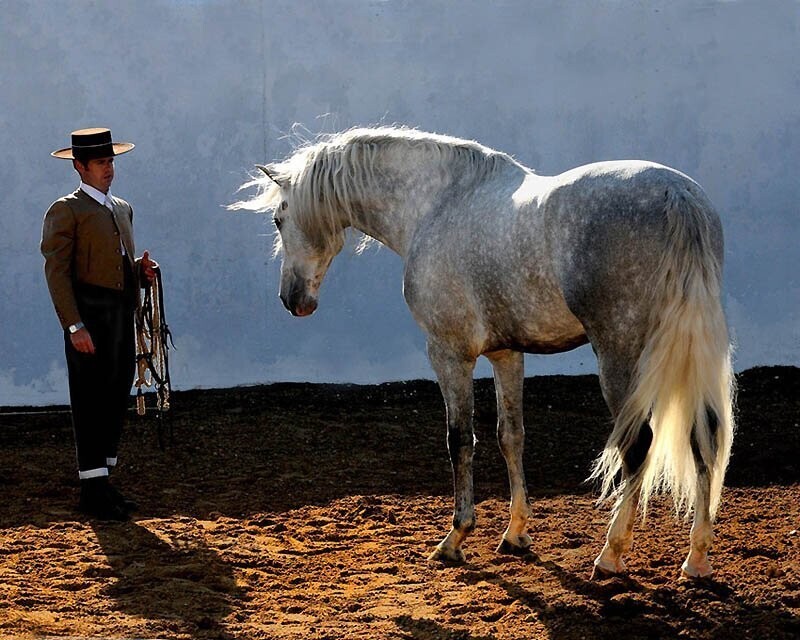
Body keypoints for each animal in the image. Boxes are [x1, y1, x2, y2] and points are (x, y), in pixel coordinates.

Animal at [231, 126, 732, 580]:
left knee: (638, 445)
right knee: (703, 435)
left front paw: (455, 539)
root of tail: (678, 197)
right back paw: (696, 558)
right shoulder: (506, 353)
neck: (434, 205)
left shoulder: (449, 353)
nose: (292, 299)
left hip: (620, 355)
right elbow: (511, 436)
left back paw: (610, 554)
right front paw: (516, 534)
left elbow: (460, 440)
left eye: (278, 219)